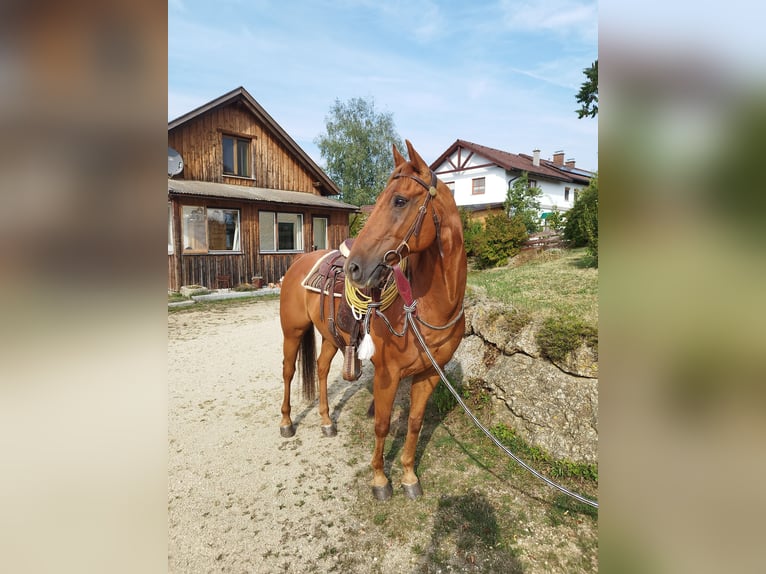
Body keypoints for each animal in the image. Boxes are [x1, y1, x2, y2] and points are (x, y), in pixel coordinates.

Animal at [280, 140, 464, 500]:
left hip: (330, 336)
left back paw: (326, 422)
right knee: (288, 372)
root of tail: (300, 262)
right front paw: (380, 480)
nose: (354, 266)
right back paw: (286, 423)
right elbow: (382, 423)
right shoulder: (388, 374)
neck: (423, 307)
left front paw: (409, 476)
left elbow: (414, 424)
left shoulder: (428, 376)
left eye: (400, 200)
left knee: (321, 369)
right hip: (292, 332)